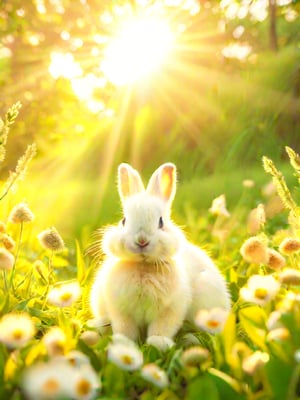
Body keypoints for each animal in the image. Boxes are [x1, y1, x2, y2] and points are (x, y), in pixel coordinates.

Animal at [90, 162, 231, 350]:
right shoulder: (121, 310)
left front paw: (158, 343)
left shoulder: (170, 309)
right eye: (124, 221)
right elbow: (125, 329)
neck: (143, 266)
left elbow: (161, 328)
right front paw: (123, 343)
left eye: (161, 222)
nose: (142, 240)